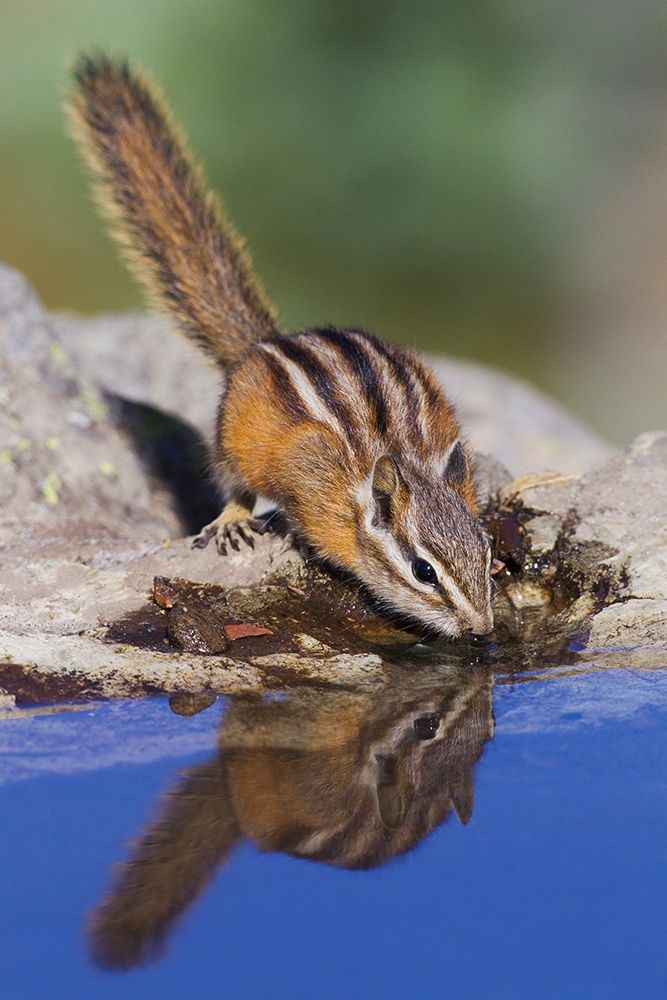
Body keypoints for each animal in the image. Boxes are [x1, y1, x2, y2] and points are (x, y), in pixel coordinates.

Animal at [67, 53, 493, 640]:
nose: (482, 630)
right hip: (231, 440)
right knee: (233, 481)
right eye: (423, 571)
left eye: (487, 552)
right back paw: (233, 520)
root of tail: (267, 339)